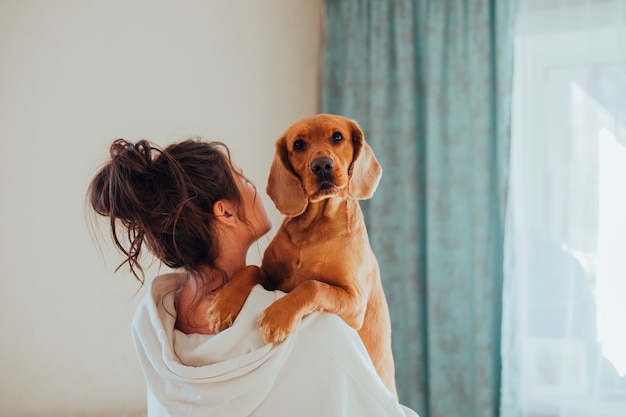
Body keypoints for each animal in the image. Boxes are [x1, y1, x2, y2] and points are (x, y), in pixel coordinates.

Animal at [208, 114, 394, 396]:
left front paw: (277, 316)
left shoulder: (354, 302)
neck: (314, 230)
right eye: (298, 145)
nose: (322, 166)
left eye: (337, 137)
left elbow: (312, 285)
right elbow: (250, 269)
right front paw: (222, 305)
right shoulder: (271, 276)